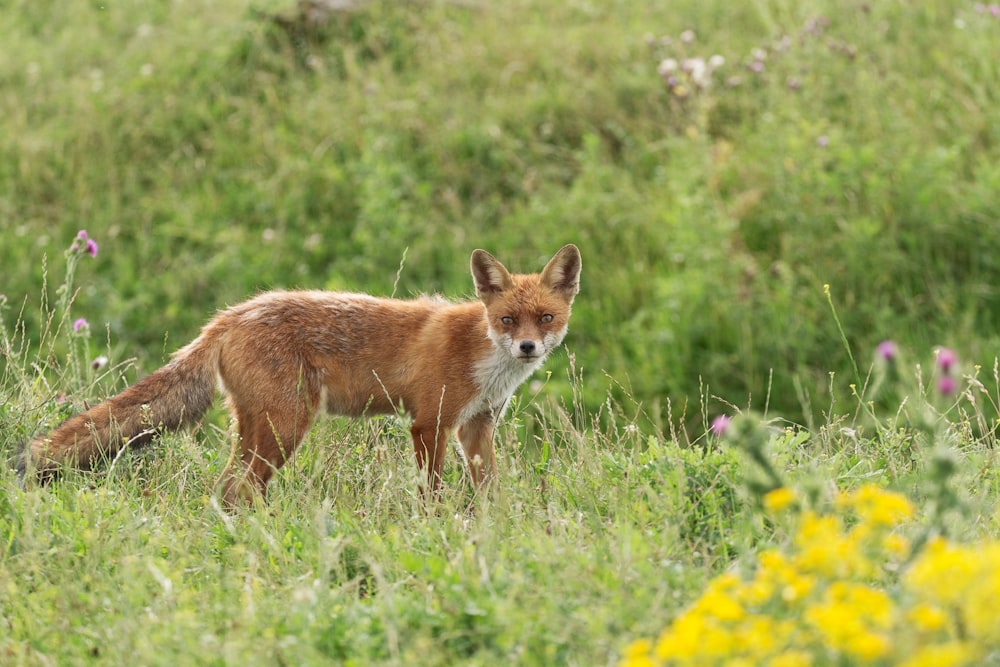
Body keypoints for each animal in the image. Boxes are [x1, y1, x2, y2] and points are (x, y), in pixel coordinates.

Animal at [21, 245, 580, 506]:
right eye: (507, 320)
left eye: (545, 319)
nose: (528, 347)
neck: (485, 359)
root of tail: (228, 316)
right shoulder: (429, 422)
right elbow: (432, 493)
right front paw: (437, 529)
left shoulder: (478, 425)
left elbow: (489, 491)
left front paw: (492, 530)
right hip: (286, 426)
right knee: (238, 489)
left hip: (261, 428)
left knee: (228, 488)